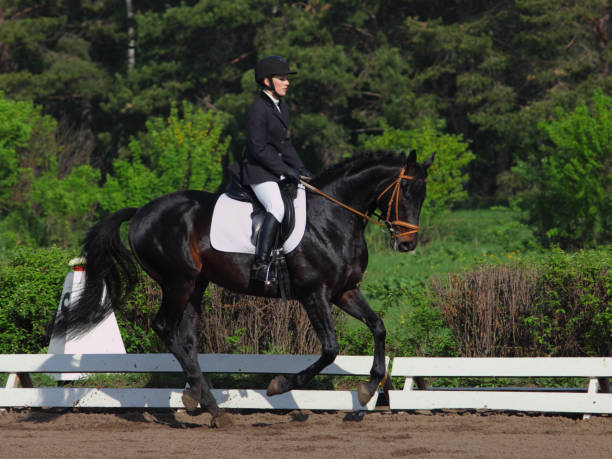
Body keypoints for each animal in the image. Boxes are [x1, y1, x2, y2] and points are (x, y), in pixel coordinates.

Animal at [62, 151, 432, 428]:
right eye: (406, 192)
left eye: (423, 196)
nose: (407, 244)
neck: (333, 218)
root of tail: (141, 212)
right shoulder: (315, 294)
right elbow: (329, 349)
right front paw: (280, 385)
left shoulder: (344, 291)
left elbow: (378, 327)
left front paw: (369, 389)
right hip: (178, 282)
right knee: (166, 328)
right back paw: (208, 403)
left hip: (196, 285)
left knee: (187, 339)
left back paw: (201, 400)